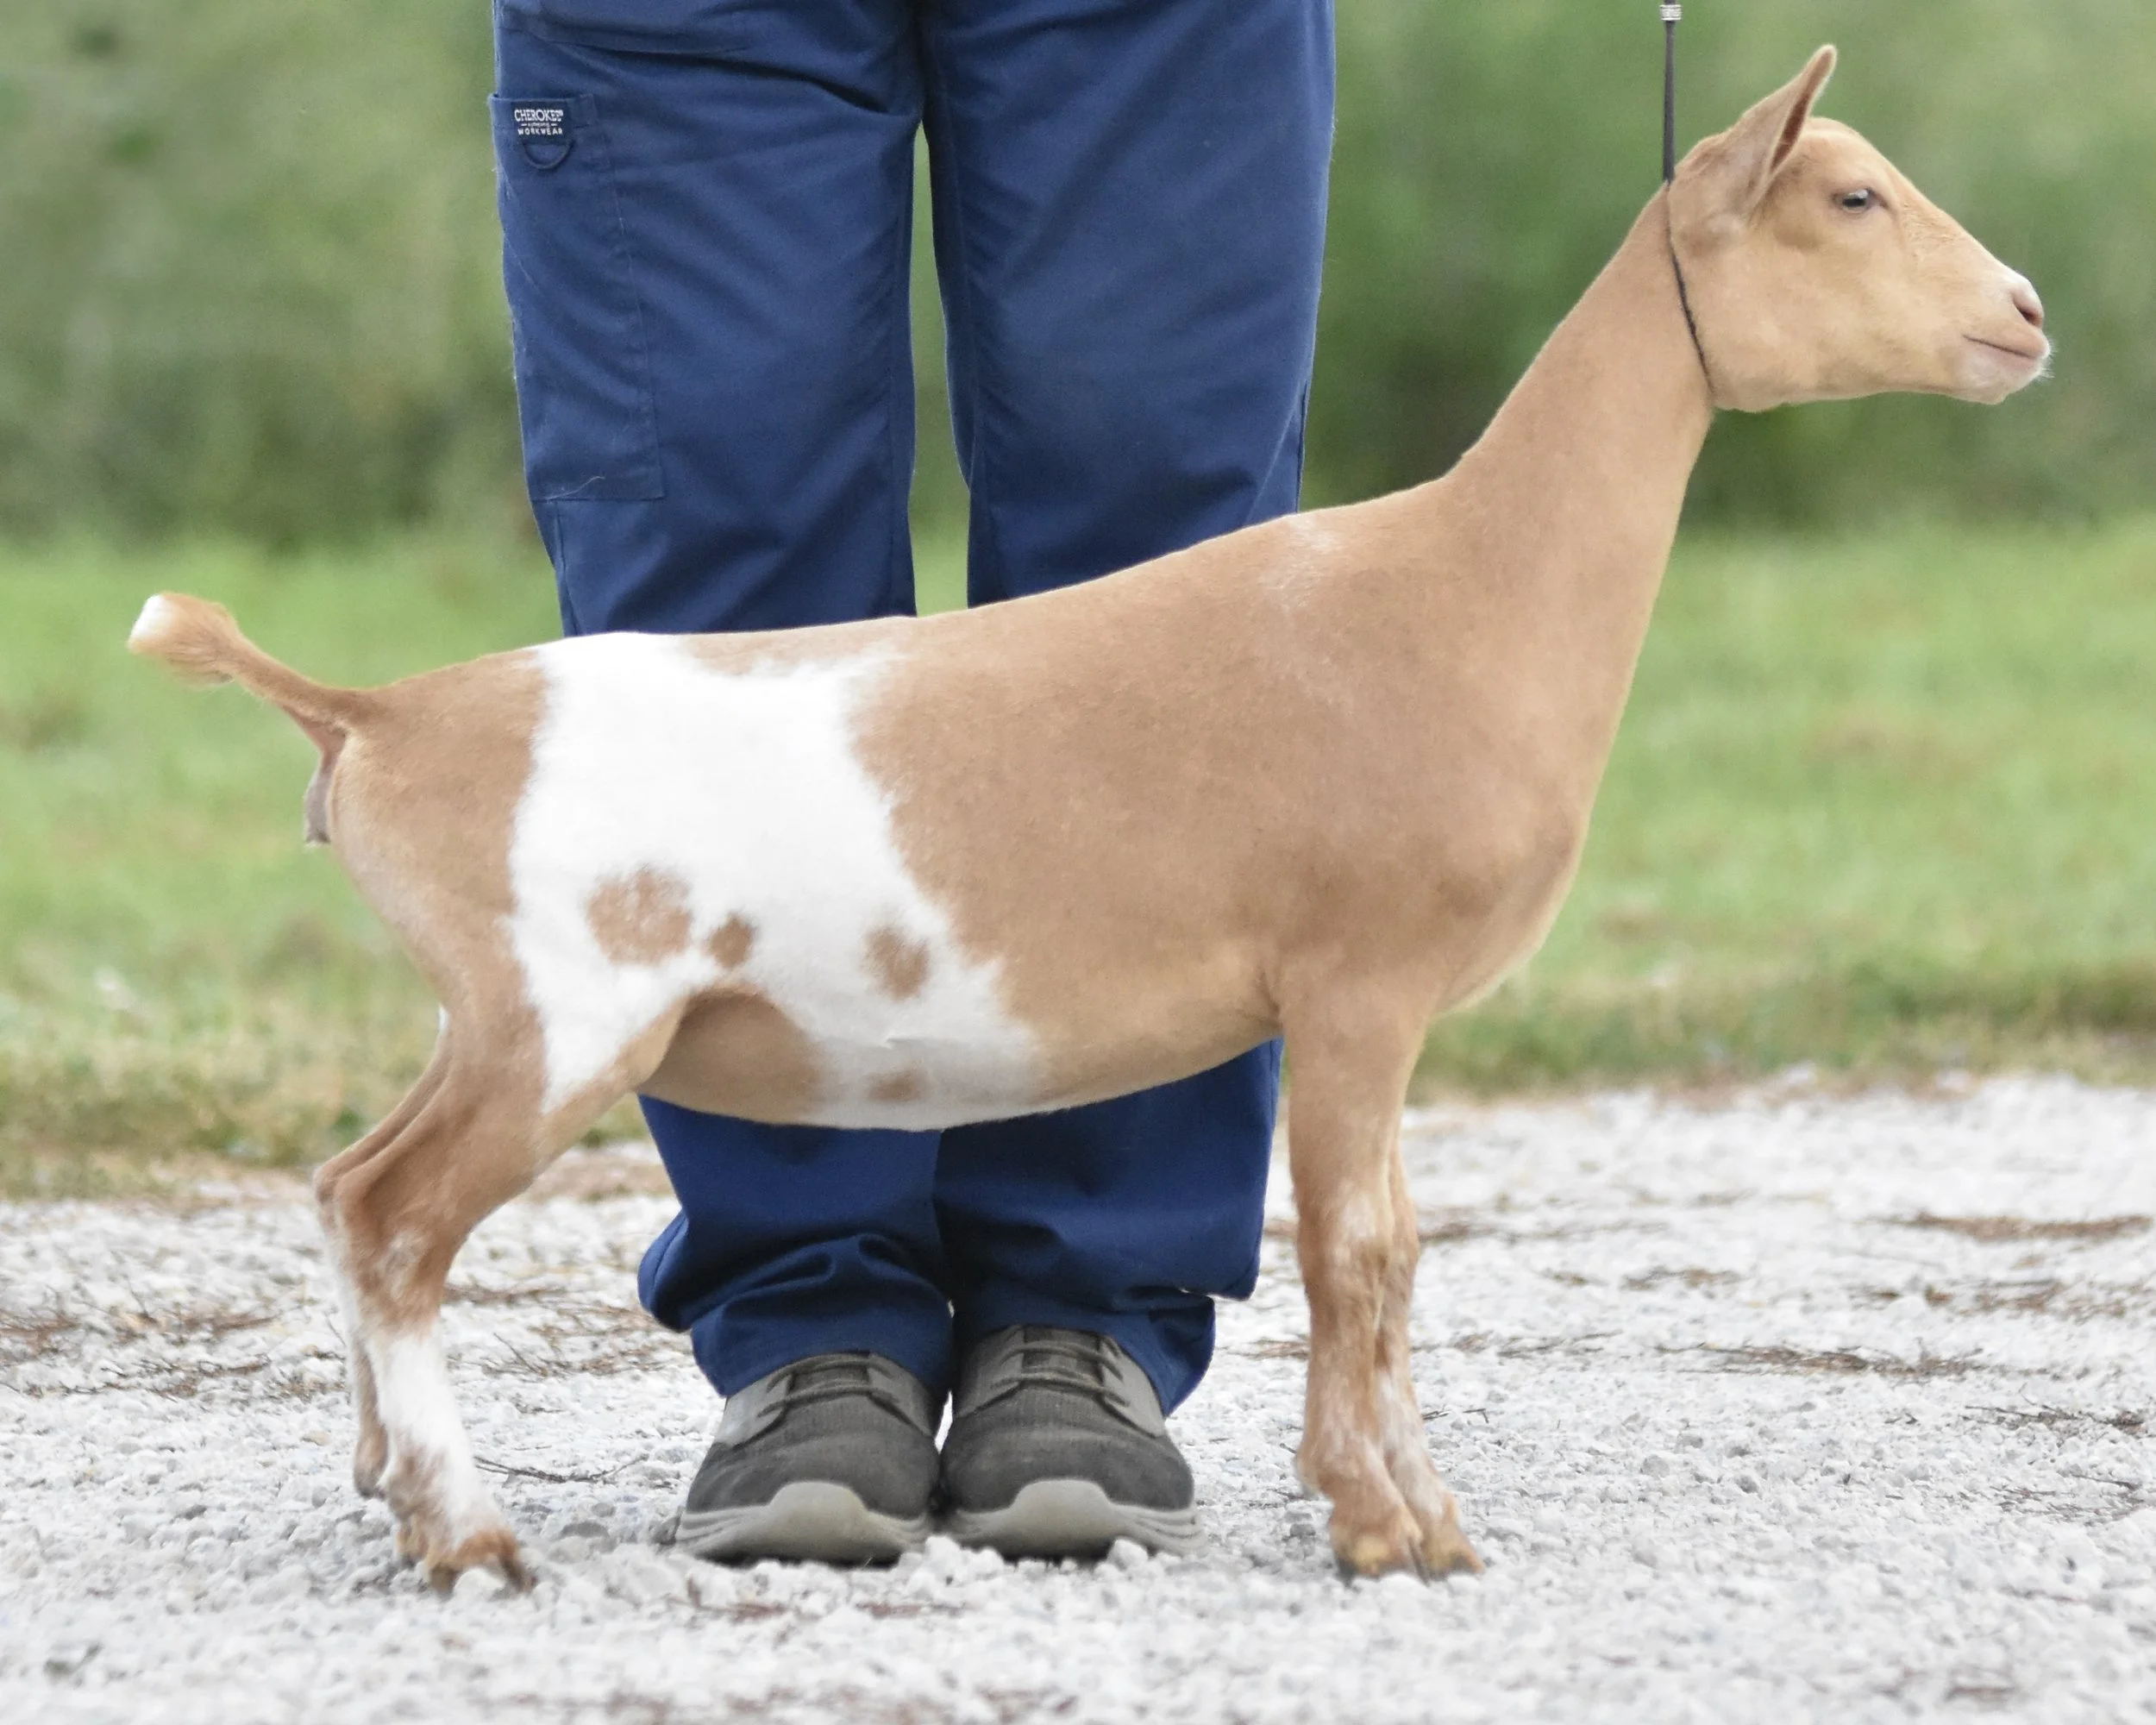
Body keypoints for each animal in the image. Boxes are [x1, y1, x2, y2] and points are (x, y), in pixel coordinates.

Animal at [130, 48, 2046, 1589]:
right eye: (1851, 194)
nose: (2025, 312)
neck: (1459, 583)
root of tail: (379, 714)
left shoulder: (1366, 1011)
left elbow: (1390, 1255)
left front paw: (1406, 1509)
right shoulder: (1355, 984)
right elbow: (1360, 1252)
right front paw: (1386, 1526)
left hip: (490, 1017)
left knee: (346, 1189)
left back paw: (385, 1480)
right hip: (564, 1012)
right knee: (395, 1224)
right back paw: (465, 1532)